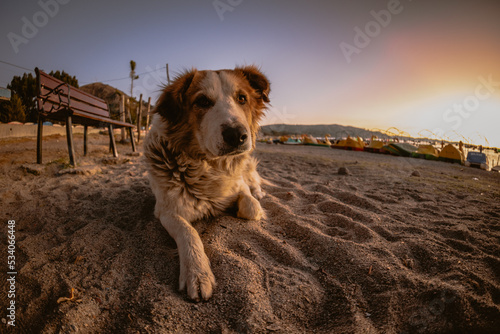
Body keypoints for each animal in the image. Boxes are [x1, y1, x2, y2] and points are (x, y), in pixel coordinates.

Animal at [143, 66, 272, 302]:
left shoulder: (239, 186)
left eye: (242, 98)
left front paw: (241, 207)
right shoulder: (166, 210)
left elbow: (251, 208)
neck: (211, 167)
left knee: (254, 180)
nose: (237, 135)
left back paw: (259, 192)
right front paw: (197, 273)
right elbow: (189, 233)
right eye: (202, 101)